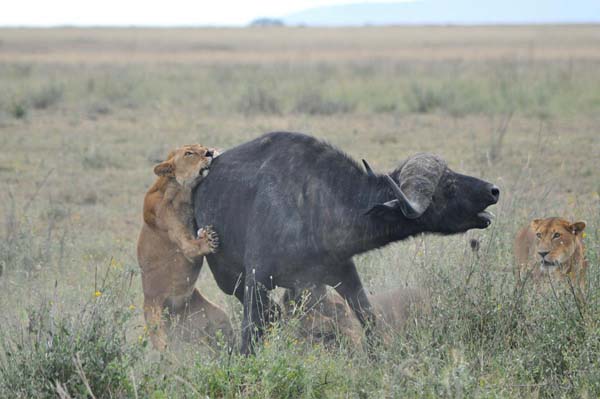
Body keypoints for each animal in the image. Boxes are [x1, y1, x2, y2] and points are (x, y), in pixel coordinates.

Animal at [137, 145, 233, 352]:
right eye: (189, 153)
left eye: (201, 147)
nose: (209, 153)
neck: (181, 193)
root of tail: (174, 314)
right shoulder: (179, 237)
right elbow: (192, 247)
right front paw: (208, 239)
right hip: (155, 322)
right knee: (166, 352)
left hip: (218, 318)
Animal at [195, 131, 500, 354]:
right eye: (448, 185)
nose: (494, 190)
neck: (314, 205)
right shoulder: (255, 280)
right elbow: (250, 333)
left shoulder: (343, 273)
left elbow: (368, 318)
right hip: (228, 280)